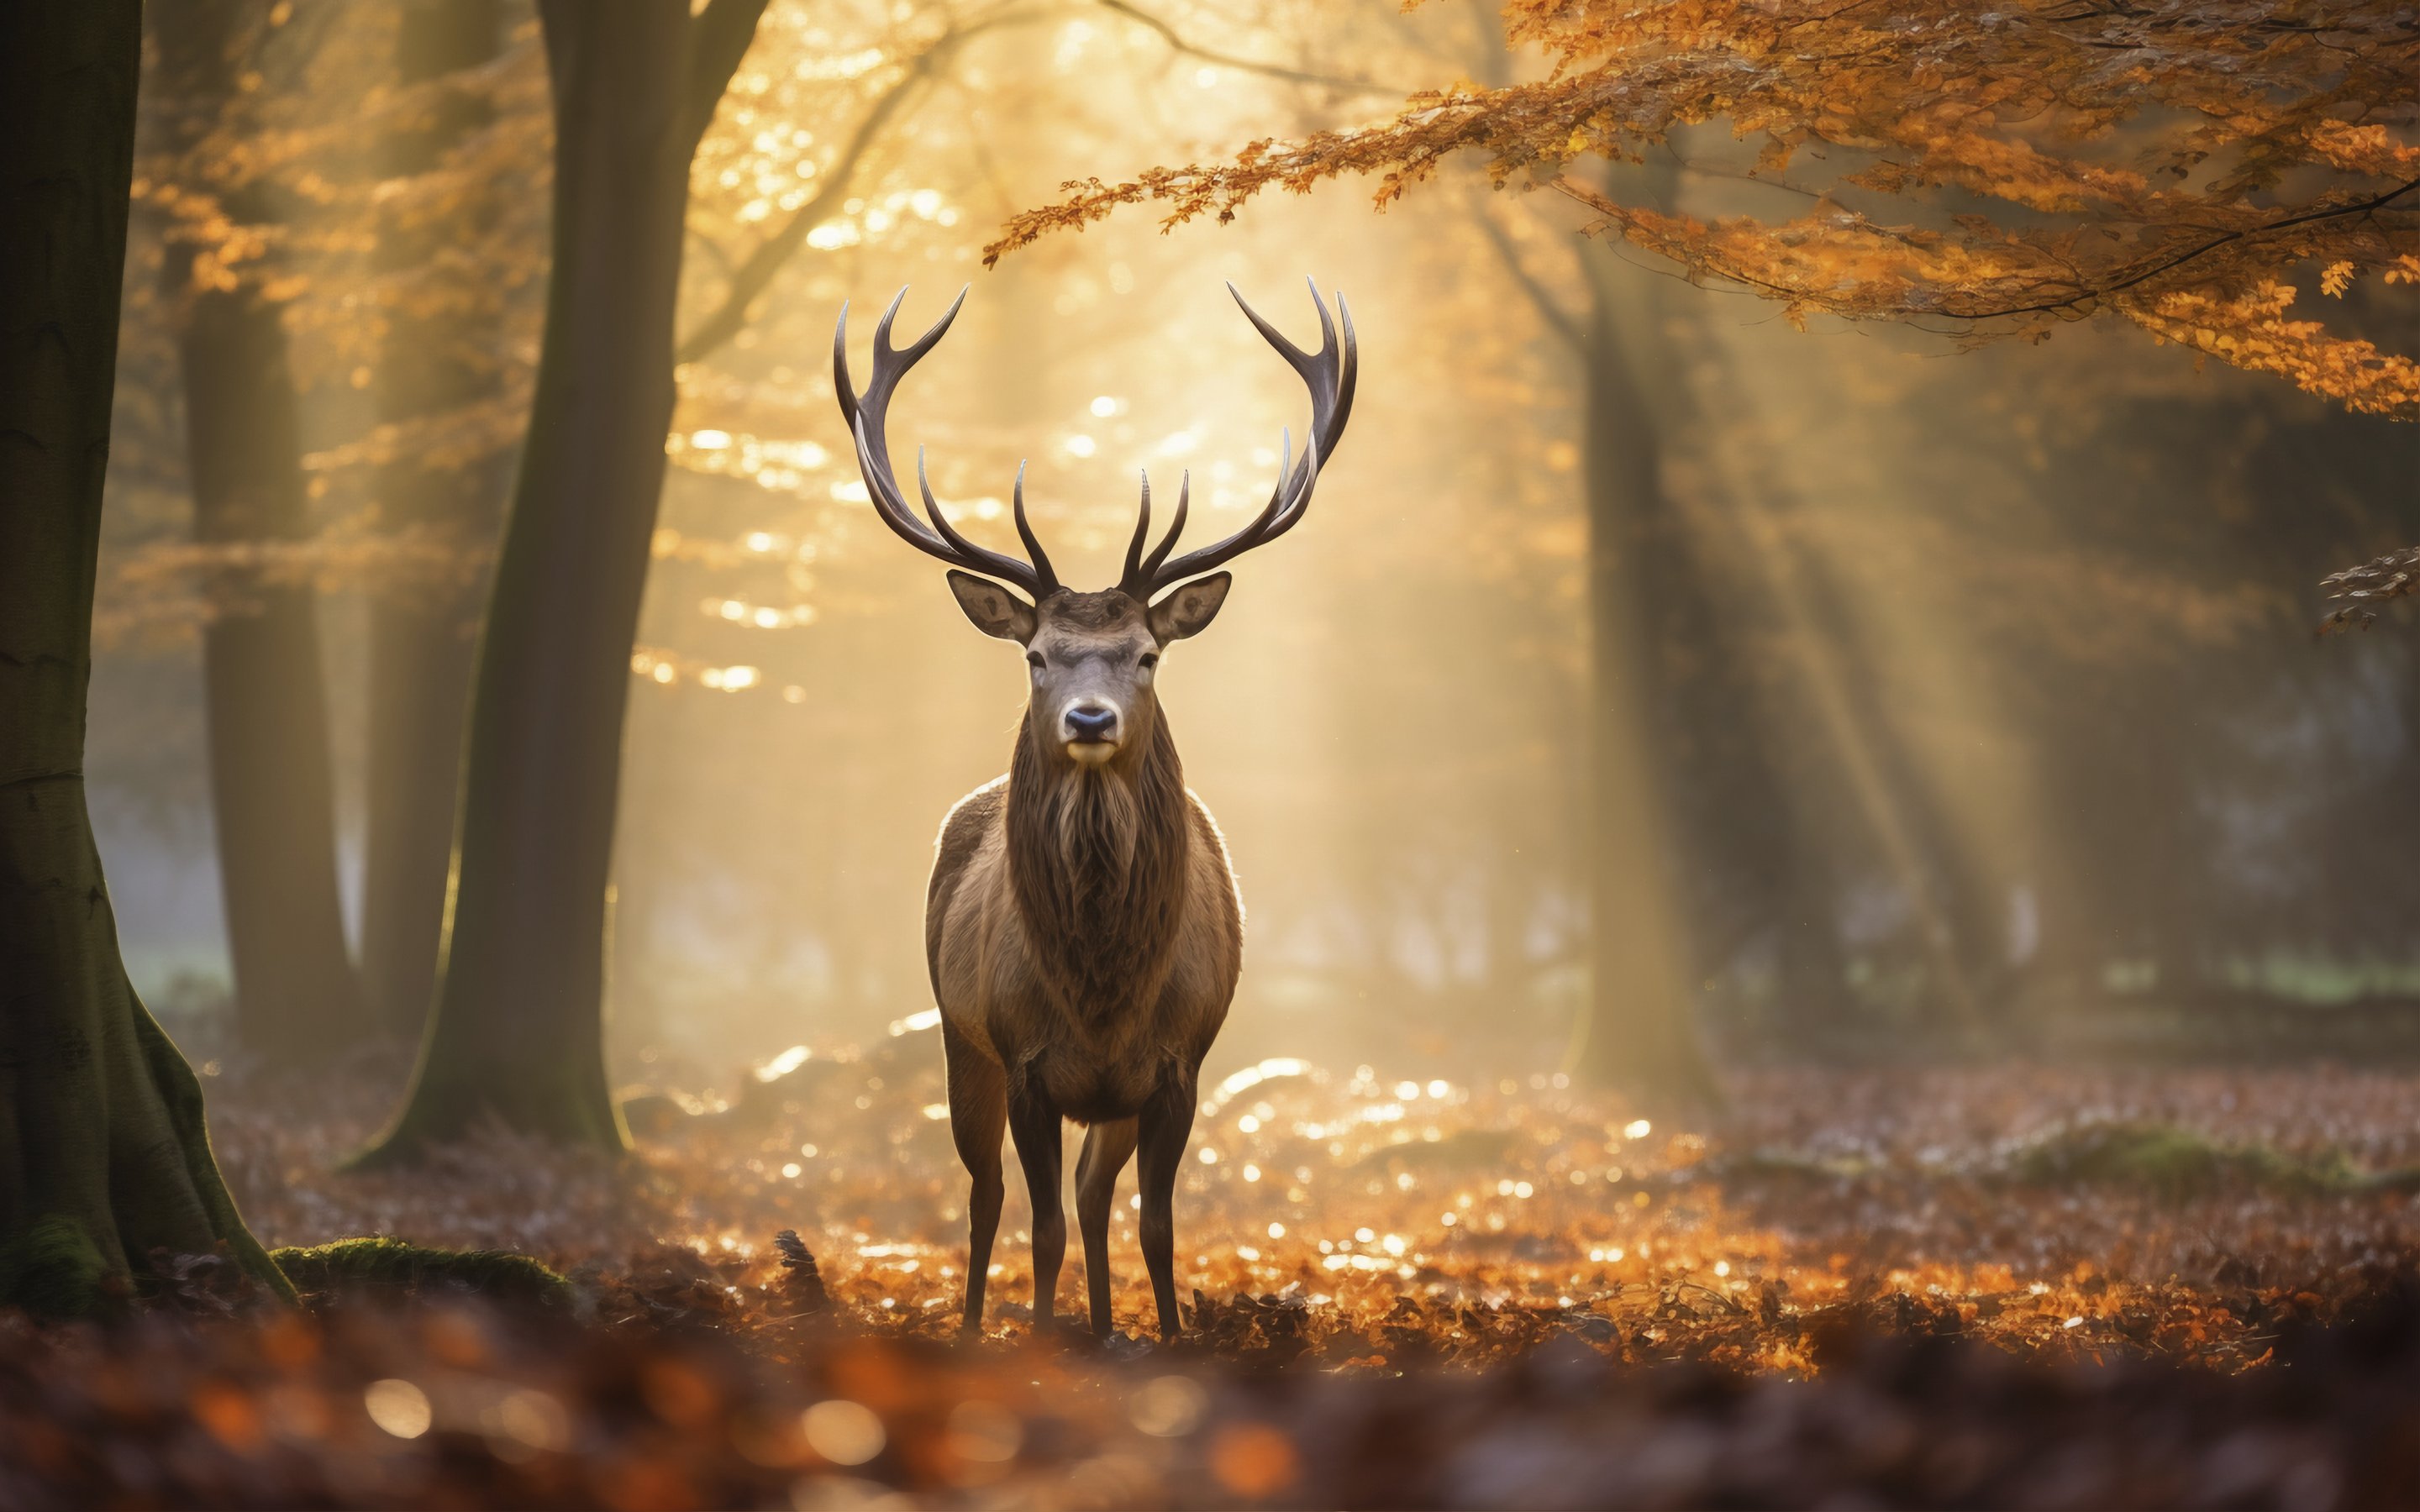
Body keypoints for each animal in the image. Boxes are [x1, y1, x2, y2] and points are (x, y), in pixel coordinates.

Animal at [831, 280, 1356, 1341]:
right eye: (1037, 655)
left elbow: (1154, 1222)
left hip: (1104, 1099)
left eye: (1146, 653)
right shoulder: (1024, 1058)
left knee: (1091, 1192)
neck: (1103, 991)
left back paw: (1108, 1324)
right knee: (987, 1193)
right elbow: (1036, 1226)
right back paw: (975, 1326)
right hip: (957, 1037)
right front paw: (1040, 1337)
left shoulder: (1179, 1065)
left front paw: (1166, 1335)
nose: (1087, 718)